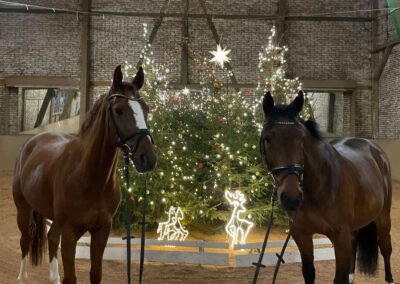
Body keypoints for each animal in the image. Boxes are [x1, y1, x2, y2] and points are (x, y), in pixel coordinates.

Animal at [12, 65, 156, 284]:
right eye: (119, 110)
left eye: (146, 109)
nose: (147, 158)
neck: (89, 177)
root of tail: (31, 141)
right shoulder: (70, 231)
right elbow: (71, 277)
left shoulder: (102, 230)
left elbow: (95, 274)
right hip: (24, 210)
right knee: (26, 241)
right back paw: (22, 277)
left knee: (51, 239)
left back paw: (53, 277)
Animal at [260, 91, 394, 284]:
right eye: (267, 139)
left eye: (301, 140)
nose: (292, 198)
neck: (320, 186)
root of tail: (374, 148)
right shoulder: (302, 235)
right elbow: (309, 273)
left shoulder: (340, 237)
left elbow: (339, 278)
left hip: (383, 217)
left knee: (385, 247)